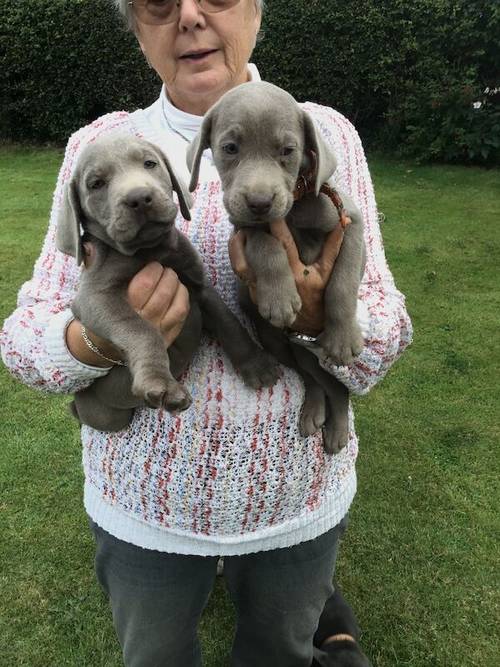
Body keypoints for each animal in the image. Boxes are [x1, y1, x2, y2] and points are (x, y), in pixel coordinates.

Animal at [57, 134, 282, 434]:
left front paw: (257, 364)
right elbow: (141, 330)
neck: (151, 251)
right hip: (105, 415)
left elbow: (228, 321)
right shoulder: (95, 298)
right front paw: (161, 383)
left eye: (149, 163)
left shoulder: (198, 285)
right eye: (96, 184)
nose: (139, 198)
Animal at [186, 81, 366, 452]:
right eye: (230, 148)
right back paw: (314, 413)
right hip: (277, 342)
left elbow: (342, 282)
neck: (294, 211)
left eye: (287, 150)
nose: (260, 203)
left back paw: (336, 429)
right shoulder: (245, 230)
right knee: (313, 377)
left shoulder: (350, 221)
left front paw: (343, 337)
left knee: (336, 385)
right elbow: (265, 244)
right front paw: (280, 299)